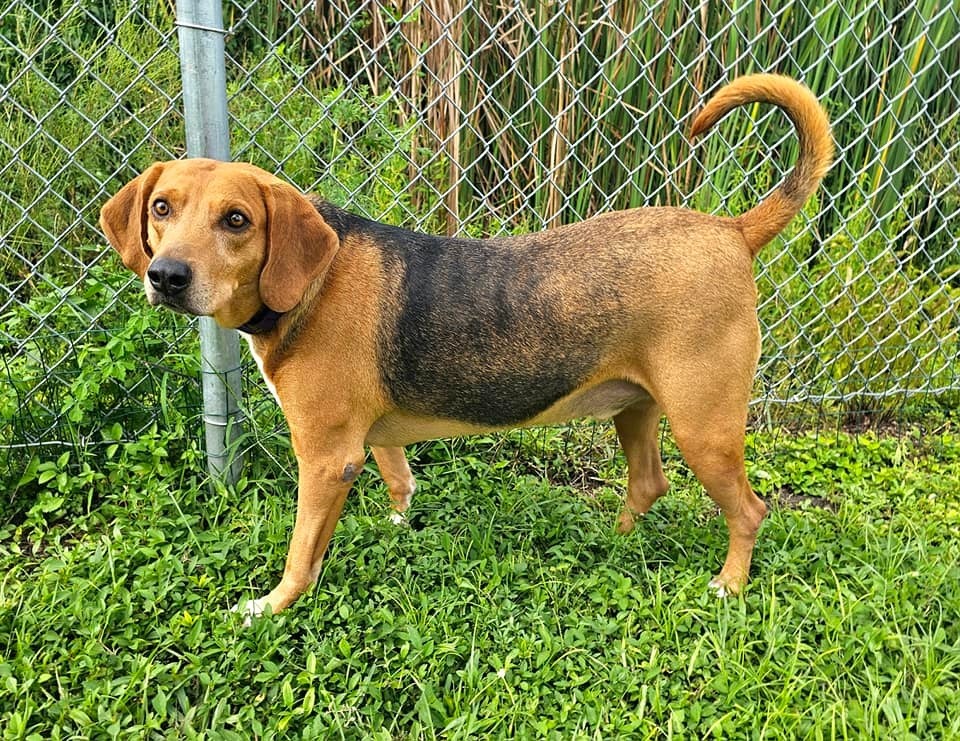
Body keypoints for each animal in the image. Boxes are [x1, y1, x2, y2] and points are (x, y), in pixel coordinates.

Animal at [99, 75, 832, 620]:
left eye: (237, 220)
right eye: (162, 207)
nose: (166, 276)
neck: (313, 278)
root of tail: (732, 230)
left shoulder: (326, 457)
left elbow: (301, 553)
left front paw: (273, 606)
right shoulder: (369, 443)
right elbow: (398, 484)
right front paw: (392, 531)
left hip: (703, 426)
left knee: (750, 509)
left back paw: (729, 585)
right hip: (638, 408)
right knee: (649, 483)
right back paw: (613, 541)